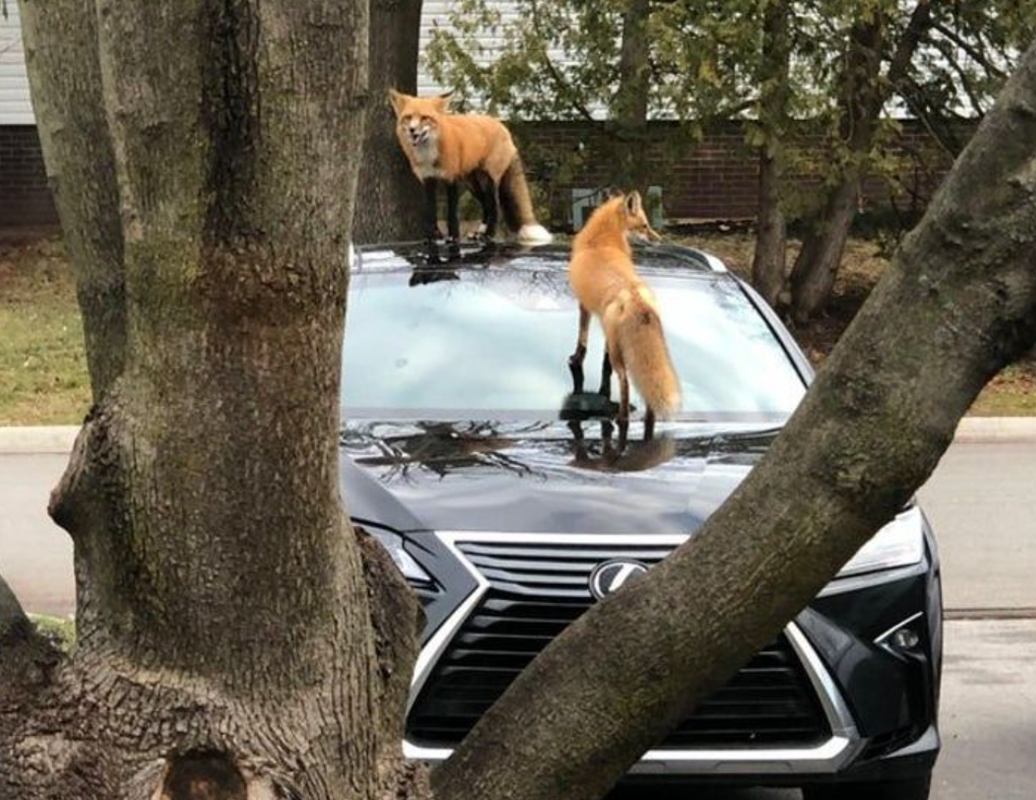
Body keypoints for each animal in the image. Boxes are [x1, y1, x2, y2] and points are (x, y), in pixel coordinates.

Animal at [388, 89, 553, 245]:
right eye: (408, 117)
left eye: (424, 118)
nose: (412, 130)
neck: (428, 154)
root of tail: (503, 127)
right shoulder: (428, 180)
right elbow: (430, 213)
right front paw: (432, 237)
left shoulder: (451, 178)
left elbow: (452, 213)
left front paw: (453, 238)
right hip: (473, 185)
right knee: (486, 206)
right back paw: (479, 233)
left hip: (488, 181)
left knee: (495, 209)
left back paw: (488, 235)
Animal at [568, 191, 680, 431]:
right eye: (645, 226)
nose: (660, 240)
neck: (600, 242)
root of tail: (635, 296)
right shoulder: (602, 321)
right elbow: (601, 354)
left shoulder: (584, 305)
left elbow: (582, 339)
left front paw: (576, 359)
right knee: (647, 387)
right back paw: (648, 419)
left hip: (620, 354)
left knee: (624, 382)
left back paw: (621, 419)